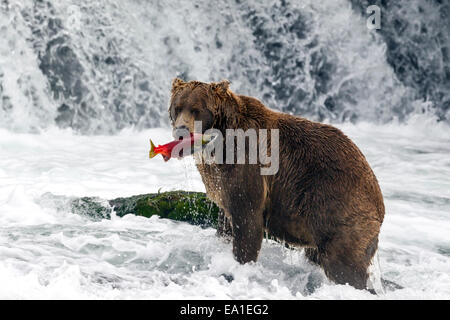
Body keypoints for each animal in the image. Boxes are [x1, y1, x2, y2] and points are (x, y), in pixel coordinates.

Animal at [167, 78, 384, 290]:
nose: (181, 131)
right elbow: (226, 221)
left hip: (337, 206)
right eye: (177, 108)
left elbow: (247, 221)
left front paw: (239, 267)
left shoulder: (248, 166)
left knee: (344, 265)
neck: (219, 141)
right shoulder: (221, 181)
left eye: (197, 109)